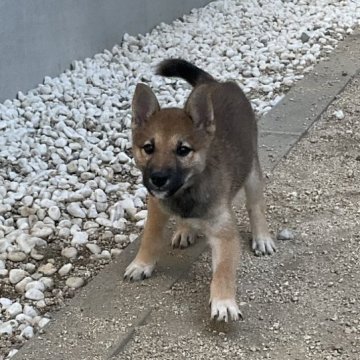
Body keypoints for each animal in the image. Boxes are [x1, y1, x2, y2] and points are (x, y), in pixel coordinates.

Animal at [124, 59, 276, 324]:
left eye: (183, 150)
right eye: (148, 148)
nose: (158, 179)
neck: (186, 192)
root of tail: (215, 83)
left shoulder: (225, 234)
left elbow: (223, 270)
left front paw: (224, 302)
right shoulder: (156, 207)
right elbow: (150, 236)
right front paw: (142, 263)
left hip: (252, 171)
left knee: (255, 205)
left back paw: (262, 237)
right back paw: (185, 230)